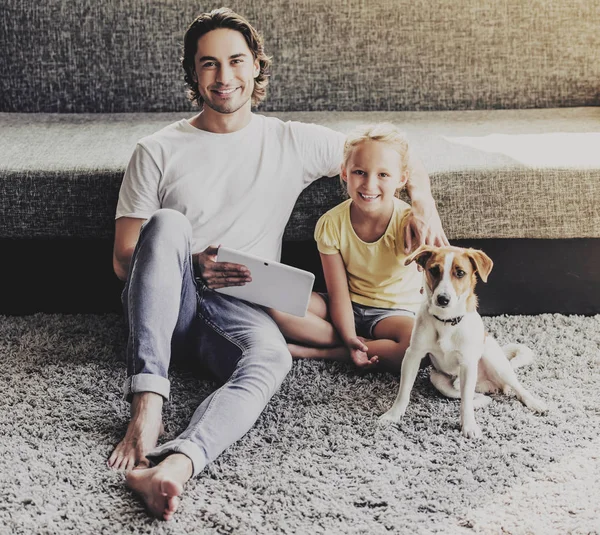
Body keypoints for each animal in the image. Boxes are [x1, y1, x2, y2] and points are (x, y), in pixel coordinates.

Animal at [380, 247, 548, 440]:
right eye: (434, 270)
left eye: (460, 273)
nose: (443, 299)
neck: (446, 321)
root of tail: (490, 384)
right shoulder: (413, 355)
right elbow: (404, 391)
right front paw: (393, 415)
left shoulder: (467, 364)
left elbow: (466, 402)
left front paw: (468, 426)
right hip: (439, 380)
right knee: (478, 397)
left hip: (496, 363)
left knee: (517, 388)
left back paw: (535, 403)